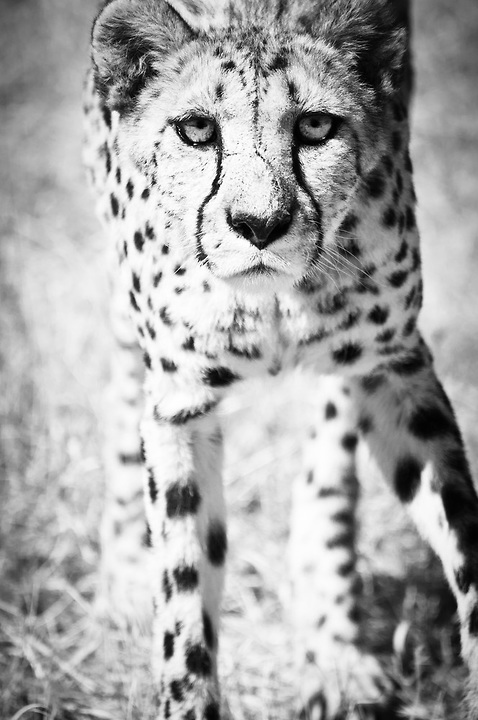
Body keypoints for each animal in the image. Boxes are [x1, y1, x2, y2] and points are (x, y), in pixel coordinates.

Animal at [83, 0, 478, 718]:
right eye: (197, 130)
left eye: (316, 126)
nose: (259, 225)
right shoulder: (180, 400)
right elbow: (184, 586)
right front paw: (187, 692)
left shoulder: (391, 365)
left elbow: (462, 535)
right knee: (123, 402)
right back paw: (123, 576)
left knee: (329, 466)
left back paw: (337, 651)